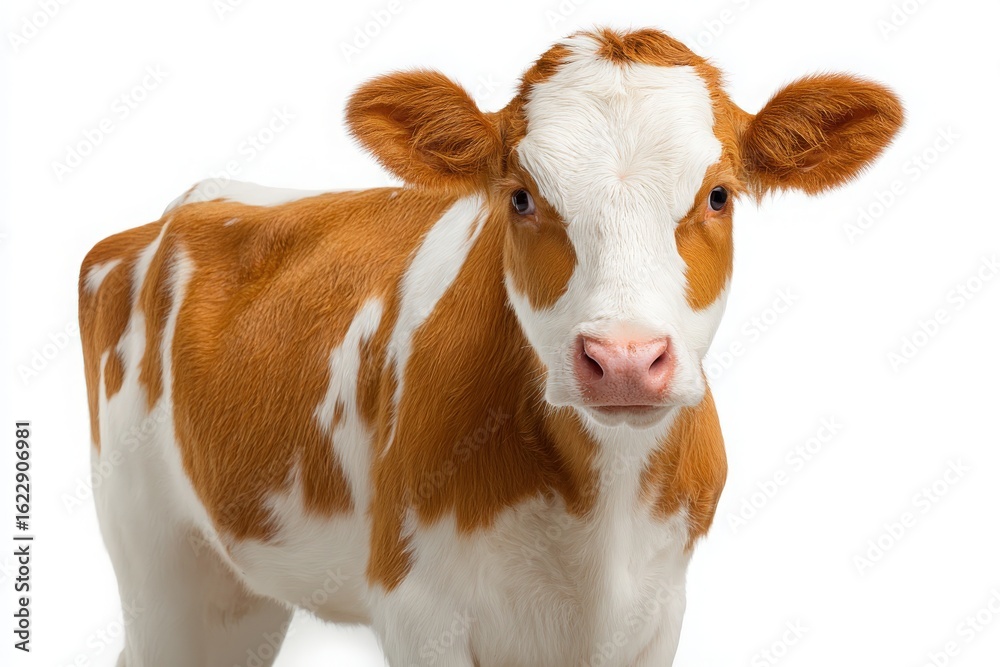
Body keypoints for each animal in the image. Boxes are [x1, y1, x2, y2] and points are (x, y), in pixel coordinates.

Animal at [79, 27, 903, 667]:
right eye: (521, 196)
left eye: (719, 195)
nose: (625, 359)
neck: (598, 514)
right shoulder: (419, 610)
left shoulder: (657, 610)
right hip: (157, 554)